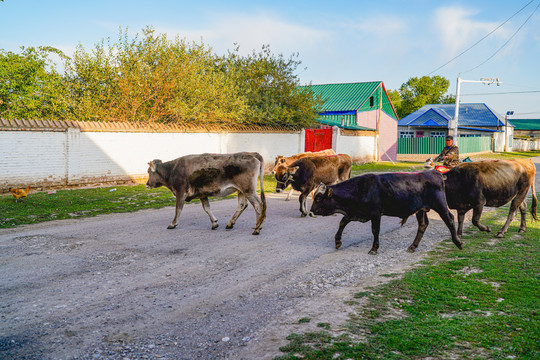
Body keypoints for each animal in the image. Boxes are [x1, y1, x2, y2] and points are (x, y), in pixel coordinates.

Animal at [310, 171, 462, 253]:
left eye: (318, 198)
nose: (311, 212)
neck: (361, 188)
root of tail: (435, 173)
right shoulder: (356, 212)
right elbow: (342, 223)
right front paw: (337, 241)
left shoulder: (376, 213)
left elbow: (375, 230)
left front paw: (374, 248)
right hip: (421, 210)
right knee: (423, 225)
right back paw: (412, 246)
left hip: (440, 205)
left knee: (449, 218)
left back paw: (458, 242)